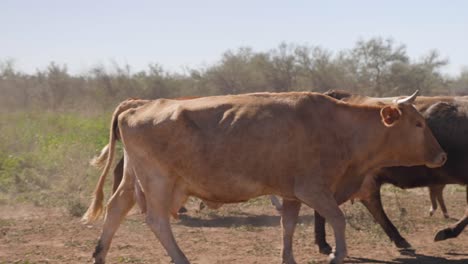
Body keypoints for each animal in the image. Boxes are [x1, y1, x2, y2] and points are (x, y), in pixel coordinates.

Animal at [84, 91, 446, 264]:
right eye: (417, 124)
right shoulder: (314, 189)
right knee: (157, 220)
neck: (340, 126)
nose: (442, 156)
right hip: (158, 181)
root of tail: (138, 106)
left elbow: (288, 226)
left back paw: (100, 254)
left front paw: (289, 258)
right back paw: (180, 258)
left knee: (116, 209)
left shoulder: (290, 193)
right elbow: (337, 218)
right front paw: (336, 254)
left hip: (133, 178)